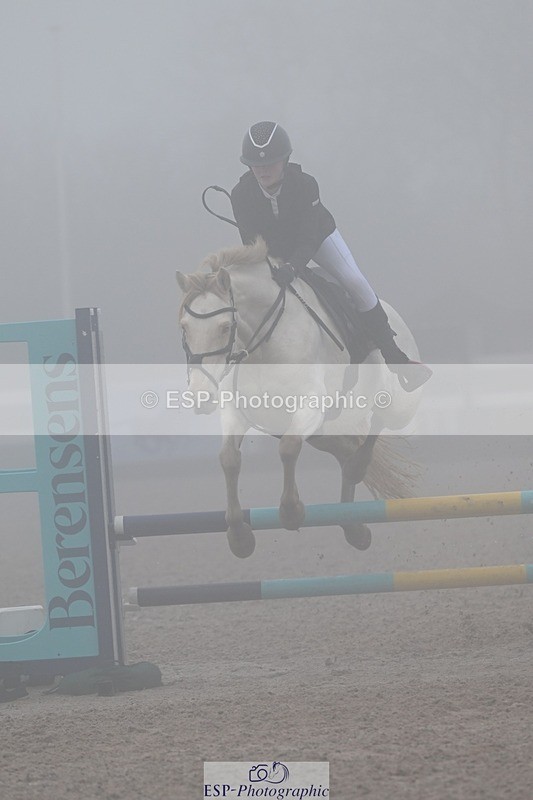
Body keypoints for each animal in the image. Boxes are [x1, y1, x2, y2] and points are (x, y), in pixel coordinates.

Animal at [176, 238, 422, 558]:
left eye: (225, 328)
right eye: (184, 327)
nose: (200, 395)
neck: (262, 347)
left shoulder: (309, 405)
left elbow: (289, 449)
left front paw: (291, 512)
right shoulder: (236, 412)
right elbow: (229, 458)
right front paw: (240, 538)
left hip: (397, 405)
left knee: (378, 422)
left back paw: (358, 468)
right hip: (322, 431)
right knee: (344, 448)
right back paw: (354, 527)